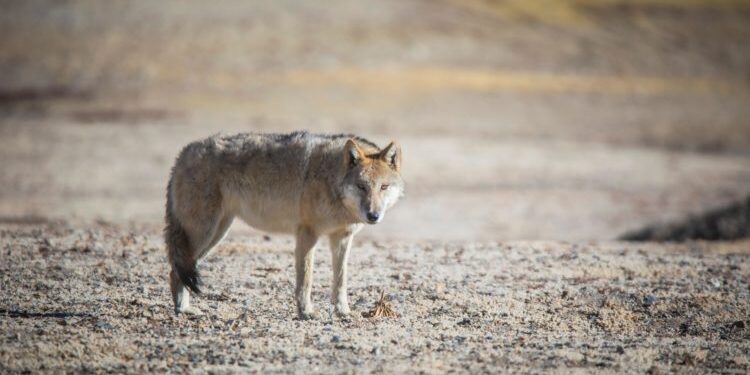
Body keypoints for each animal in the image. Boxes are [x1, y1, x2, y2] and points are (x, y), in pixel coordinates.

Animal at [162, 132, 402, 320]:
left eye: (383, 187)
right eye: (361, 186)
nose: (373, 215)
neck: (330, 176)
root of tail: (184, 153)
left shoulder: (341, 238)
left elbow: (340, 280)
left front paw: (343, 312)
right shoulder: (307, 233)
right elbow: (306, 279)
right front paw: (306, 312)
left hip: (217, 234)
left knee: (178, 270)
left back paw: (184, 309)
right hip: (204, 233)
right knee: (175, 270)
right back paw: (182, 310)